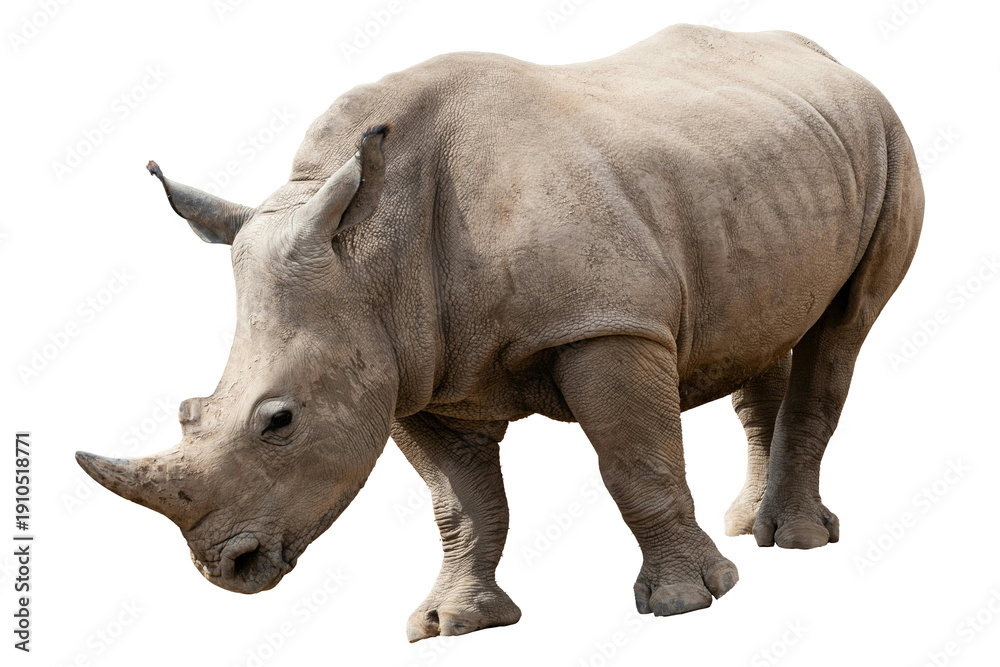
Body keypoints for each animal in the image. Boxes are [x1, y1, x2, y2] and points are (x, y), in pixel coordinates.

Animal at [77, 24, 923, 640]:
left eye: (279, 421)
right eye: (190, 412)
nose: (227, 566)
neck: (371, 252)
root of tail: (828, 59)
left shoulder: (605, 325)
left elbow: (636, 463)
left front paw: (688, 602)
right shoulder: (409, 368)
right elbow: (462, 502)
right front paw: (451, 623)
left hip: (885, 140)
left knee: (843, 328)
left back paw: (795, 541)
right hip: (760, 166)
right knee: (765, 330)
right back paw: (750, 526)